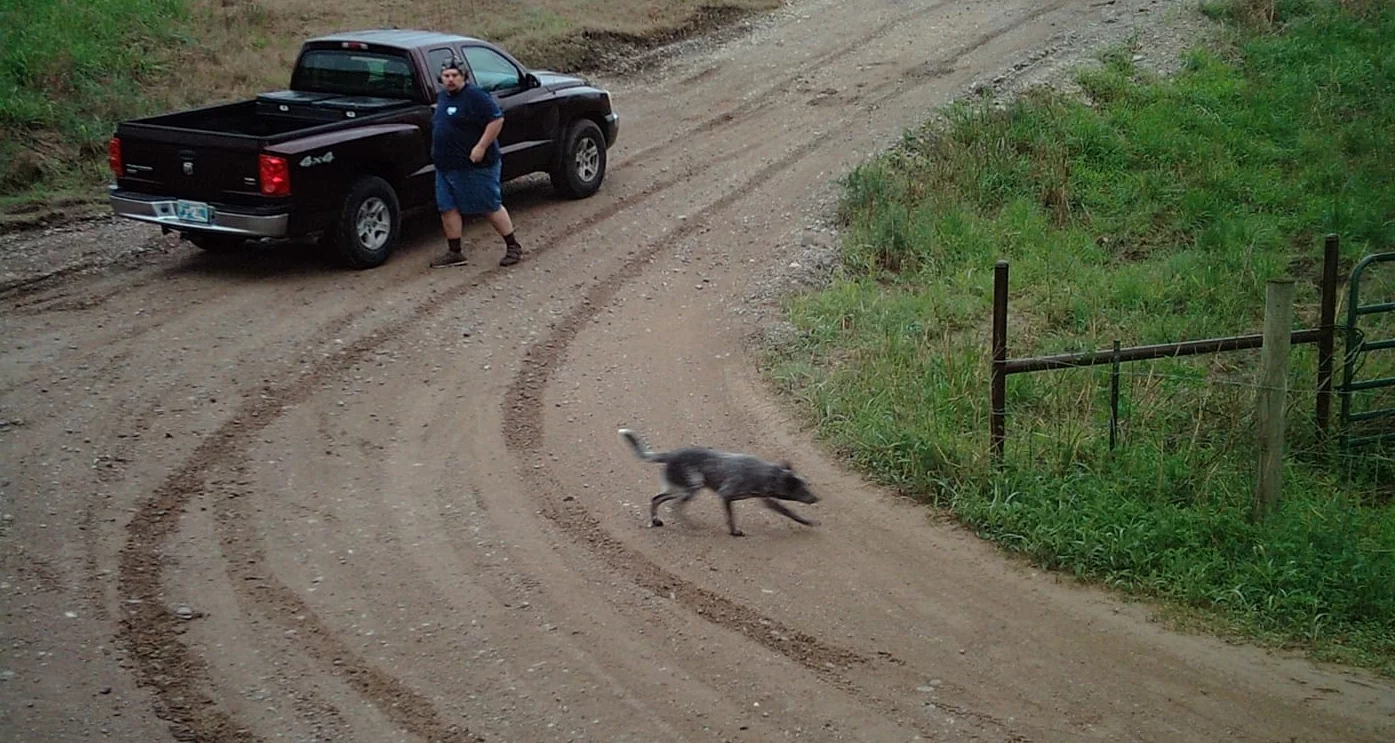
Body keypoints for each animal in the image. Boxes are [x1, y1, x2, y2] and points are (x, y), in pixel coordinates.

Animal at [619, 426, 814, 535]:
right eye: (802, 489)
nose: (816, 498)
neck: (766, 473)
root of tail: (671, 455)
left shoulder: (766, 499)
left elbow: (788, 511)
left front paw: (807, 522)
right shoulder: (726, 494)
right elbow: (731, 517)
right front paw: (734, 532)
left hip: (679, 488)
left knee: (656, 499)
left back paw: (656, 521)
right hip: (691, 487)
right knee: (674, 507)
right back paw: (690, 525)